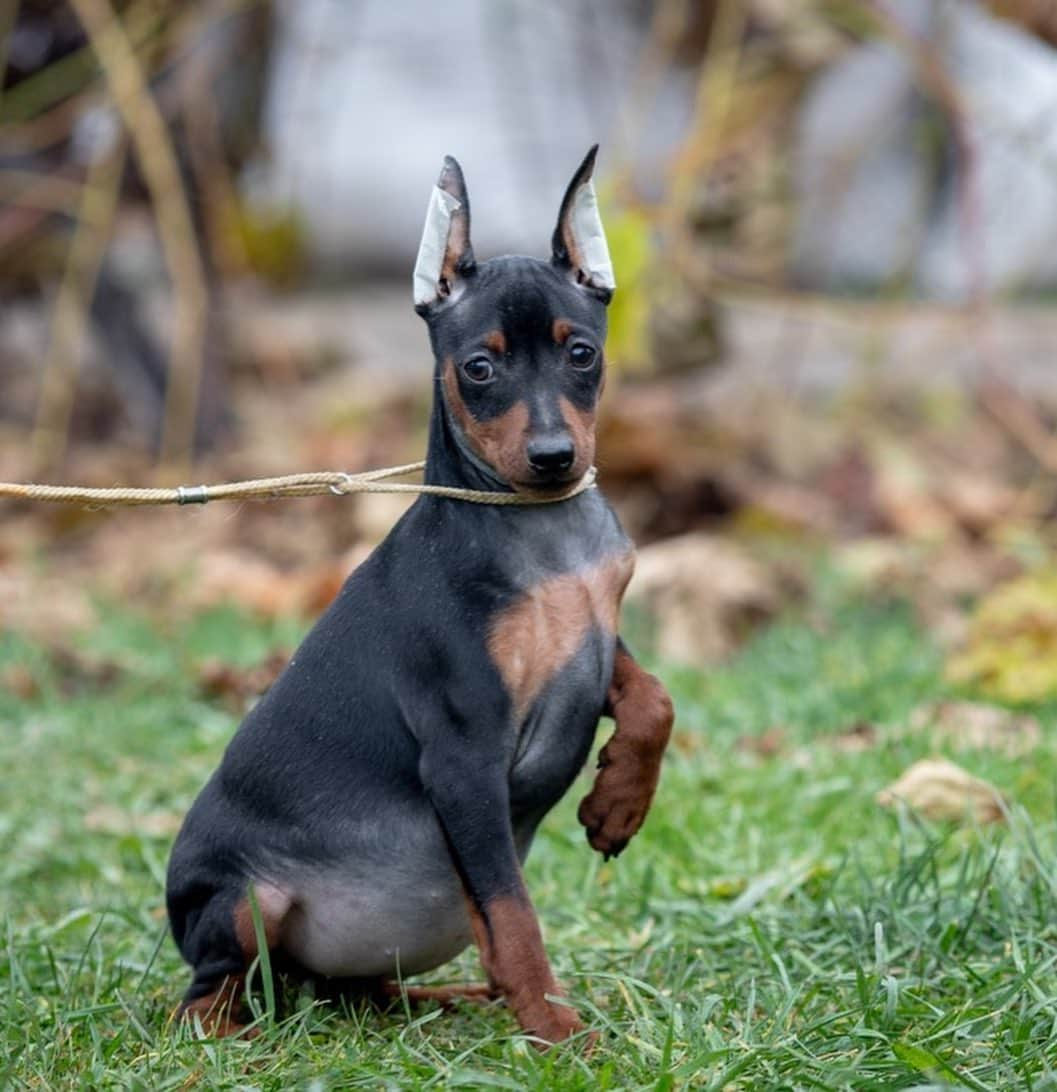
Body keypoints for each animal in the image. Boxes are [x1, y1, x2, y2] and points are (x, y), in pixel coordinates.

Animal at [164, 147, 677, 1048]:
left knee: (349, 989)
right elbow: (512, 912)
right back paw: (241, 1042)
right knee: (213, 996)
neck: (542, 529)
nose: (554, 456)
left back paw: (447, 1000)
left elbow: (654, 699)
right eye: (480, 367)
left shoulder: (591, 638)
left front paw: (617, 803)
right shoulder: (463, 757)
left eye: (580, 354)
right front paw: (555, 1029)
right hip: (242, 903)